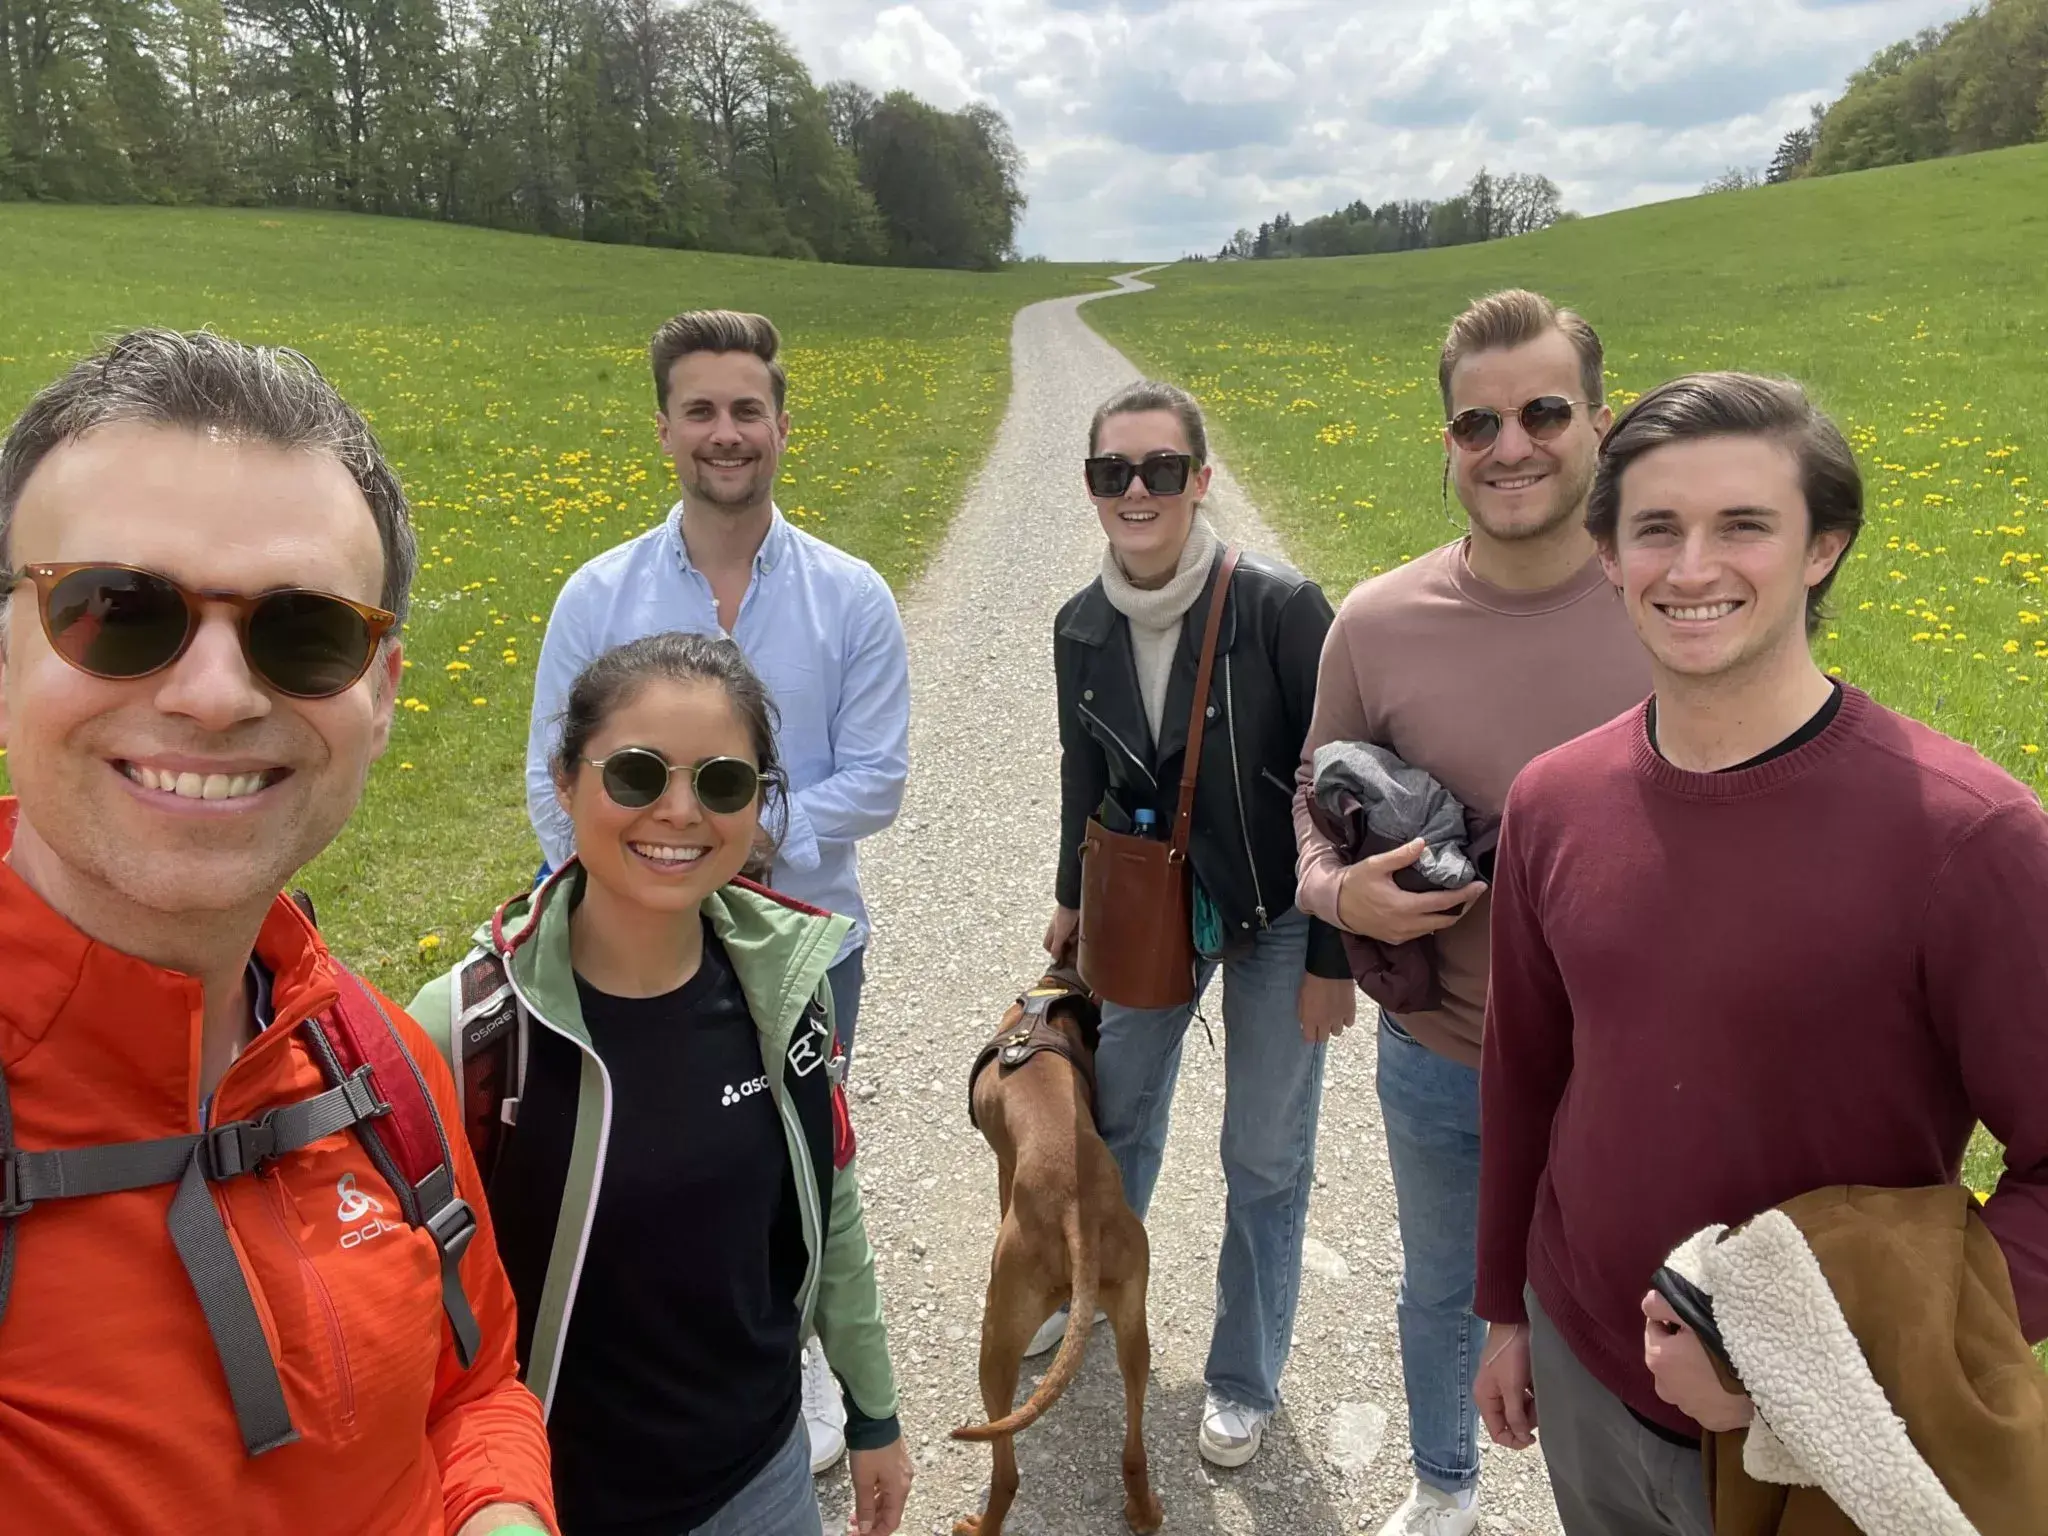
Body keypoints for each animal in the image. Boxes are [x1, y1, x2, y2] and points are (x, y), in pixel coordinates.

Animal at [950, 974, 1163, 1536]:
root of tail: (1076, 1212)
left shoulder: (1003, 1166)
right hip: (1133, 1323)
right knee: (1133, 1449)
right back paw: (1144, 1510)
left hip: (997, 1335)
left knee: (1006, 1473)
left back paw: (981, 1524)